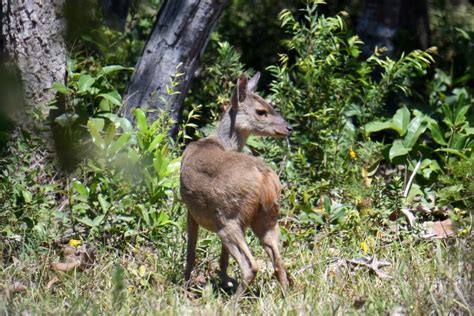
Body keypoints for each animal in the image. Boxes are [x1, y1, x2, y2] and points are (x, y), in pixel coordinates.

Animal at [181, 71, 292, 296]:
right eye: (262, 111)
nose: (288, 128)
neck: (219, 142)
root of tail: (266, 179)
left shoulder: (190, 208)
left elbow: (191, 249)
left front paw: (186, 284)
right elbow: (223, 259)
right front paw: (223, 280)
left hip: (227, 219)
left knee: (251, 265)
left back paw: (233, 299)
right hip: (267, 218)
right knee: (279, 262)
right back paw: (286, 297)